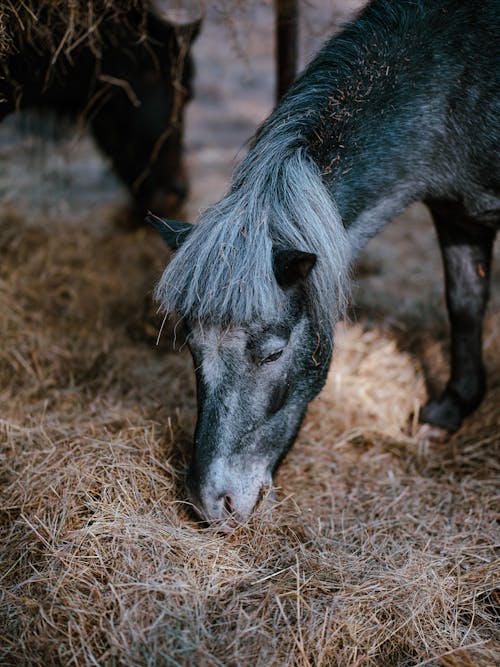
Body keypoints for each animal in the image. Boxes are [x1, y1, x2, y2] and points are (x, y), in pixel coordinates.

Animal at [147, 0, 496, 524]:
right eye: (191, 346)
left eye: (273, 352)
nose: (213, 503)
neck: (461, 79)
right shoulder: (459, 214)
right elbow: (465, 302)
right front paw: (451, 410)